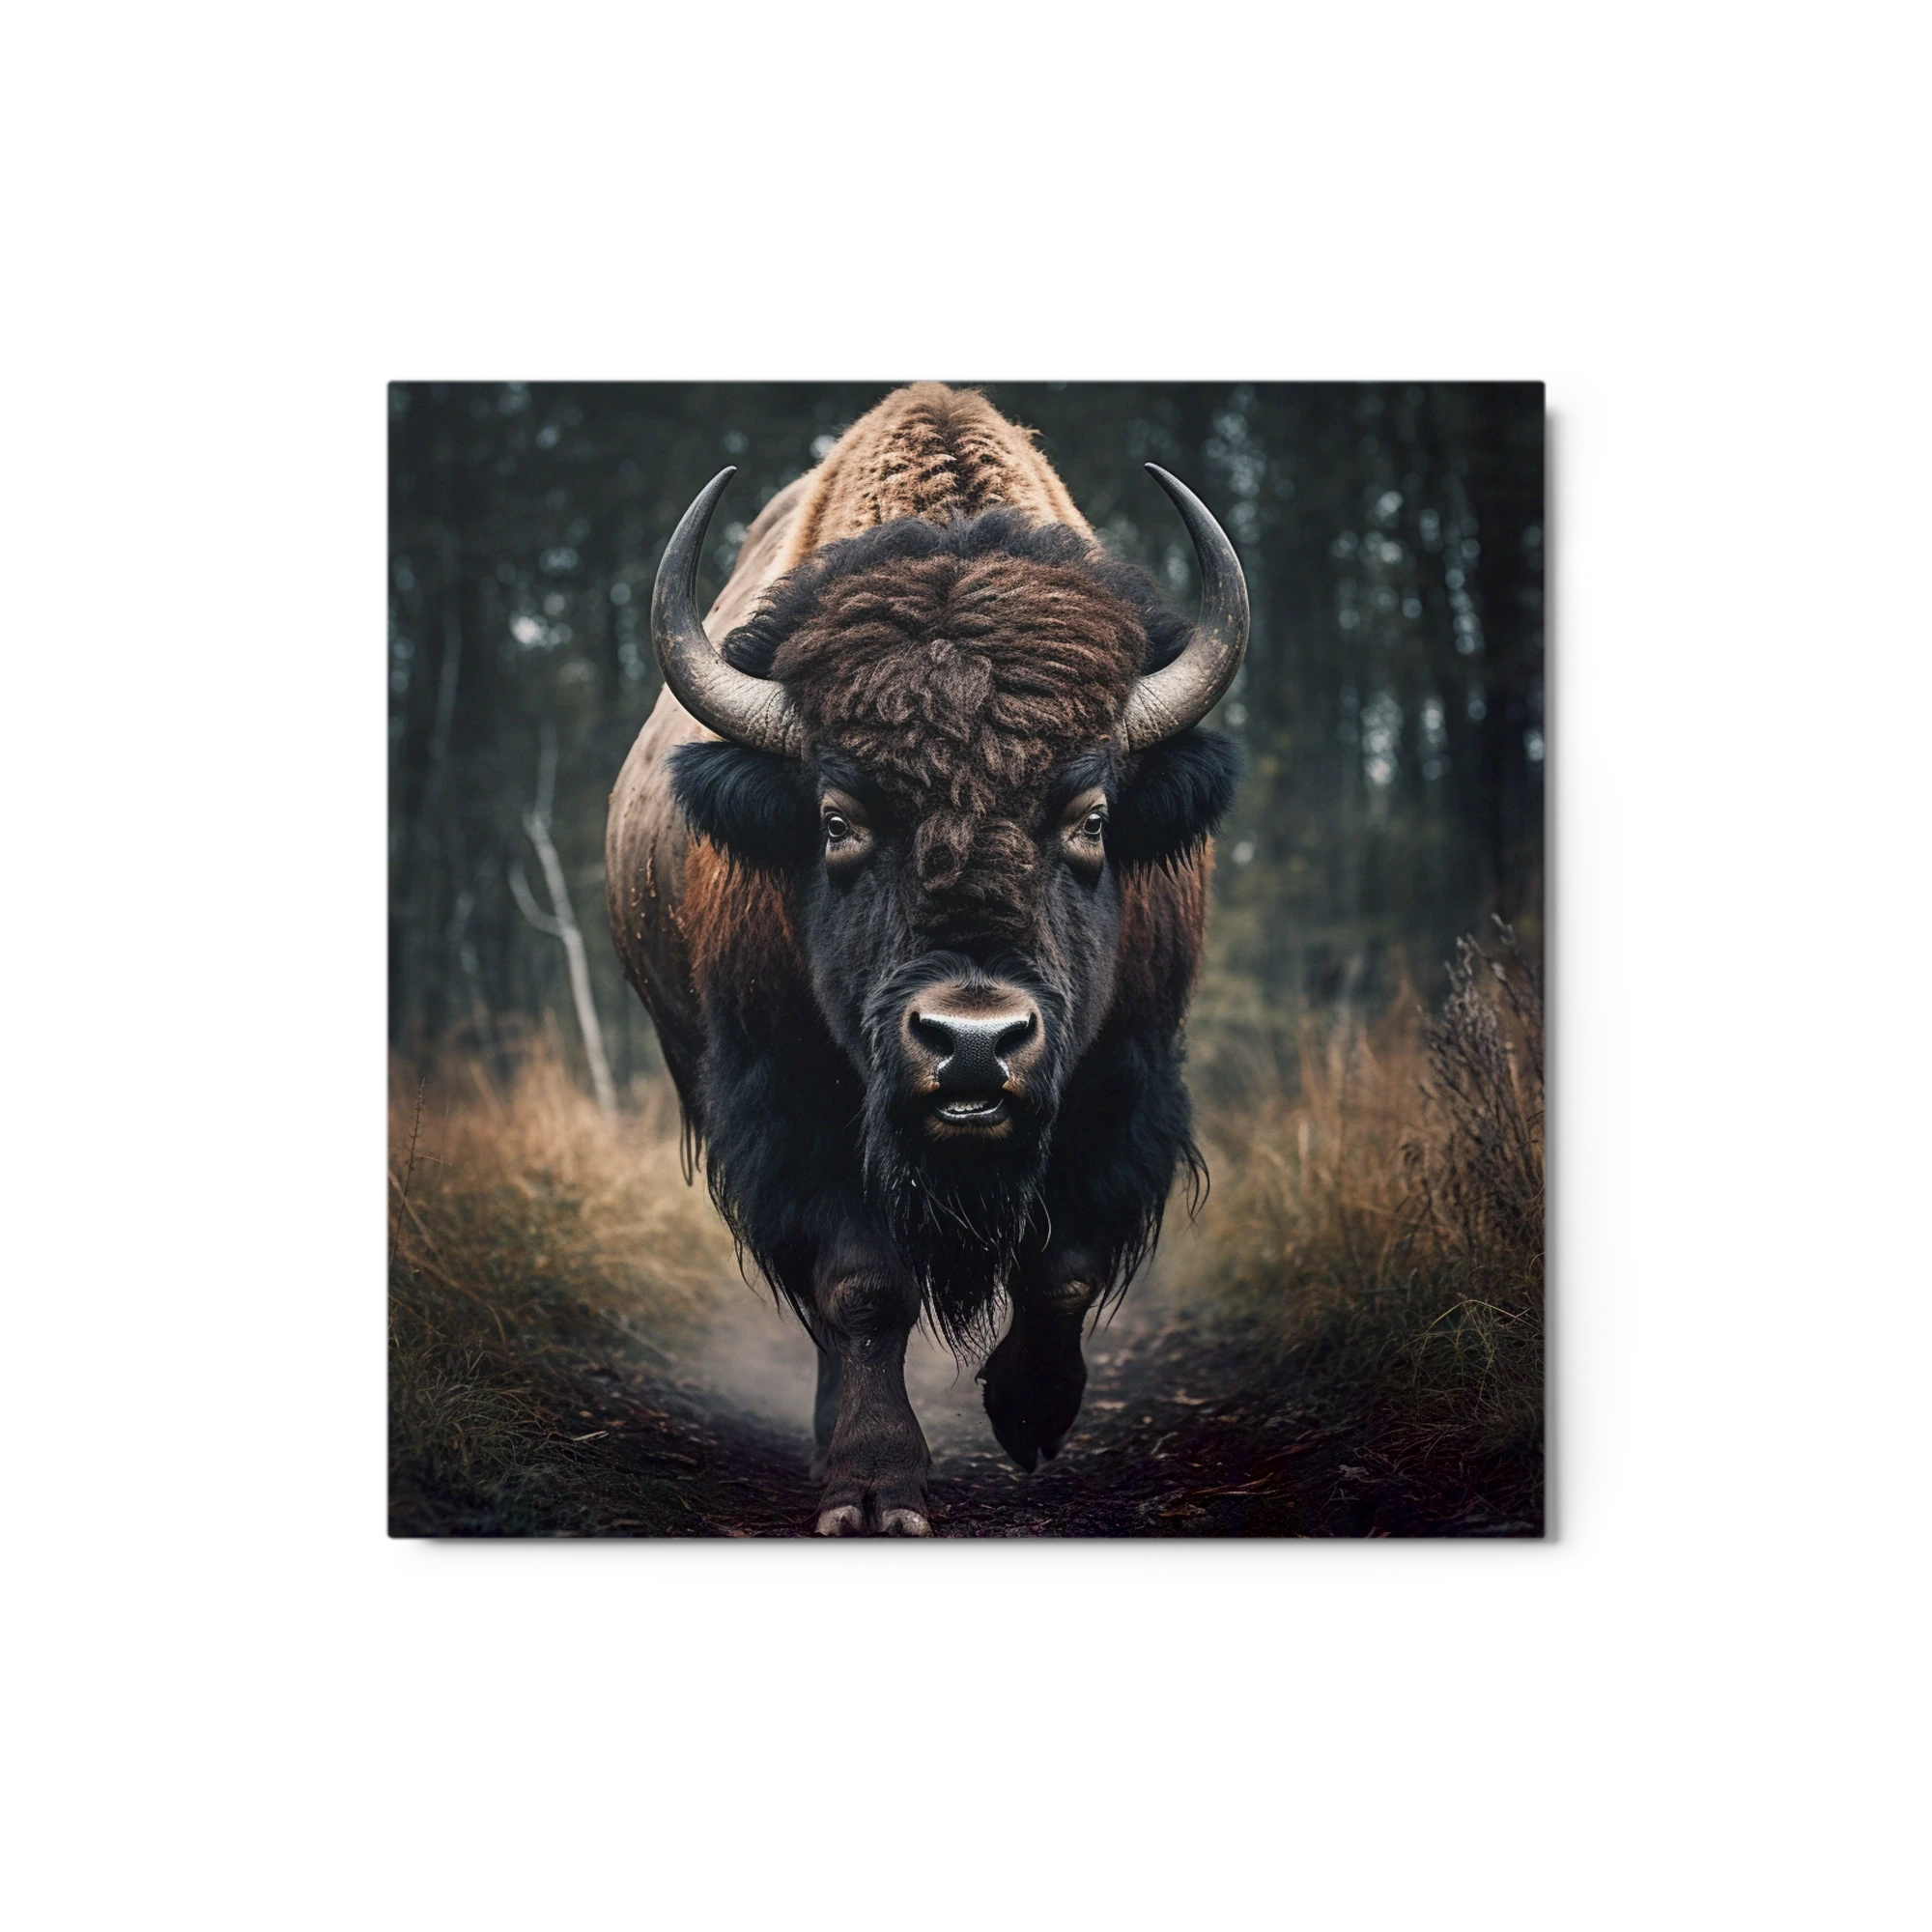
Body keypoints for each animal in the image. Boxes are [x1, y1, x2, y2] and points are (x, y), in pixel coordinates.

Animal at [606, 384, 1246, 1535]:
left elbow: (1062, 1270)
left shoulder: (1122, 1082)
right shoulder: (795, 1102)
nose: (973, 1043)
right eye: (836, 818)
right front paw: (873, 1485)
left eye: (1090, 817)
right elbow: (862, 1286)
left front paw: (1029, 1413)